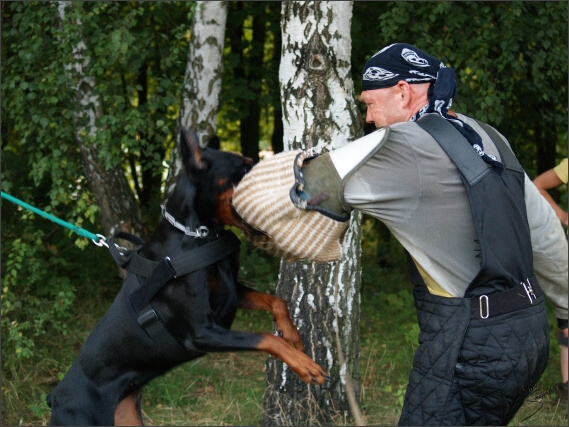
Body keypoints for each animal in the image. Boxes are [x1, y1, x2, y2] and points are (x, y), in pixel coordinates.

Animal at [48, 129, 328, 426]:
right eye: (243, 169)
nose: (295, 178)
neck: (199, 235)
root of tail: (55, 398)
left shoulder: (231, 292)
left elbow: (277, 302)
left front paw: (292, 336)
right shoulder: (202, 331)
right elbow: (265, 337)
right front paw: (305, 365)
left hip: (127, 416)